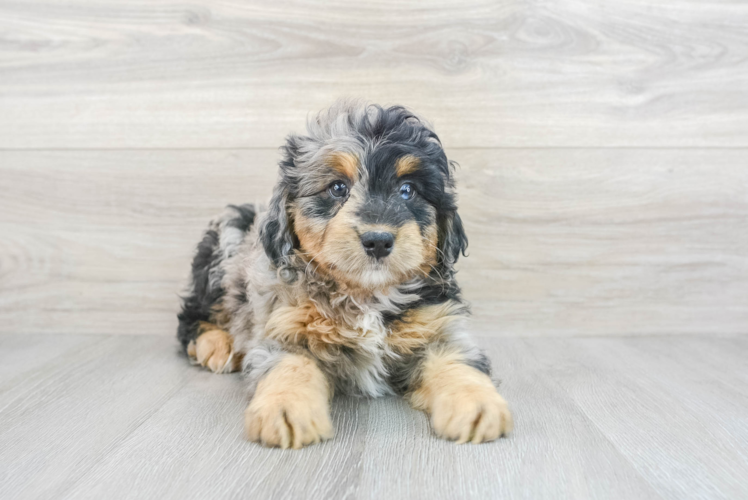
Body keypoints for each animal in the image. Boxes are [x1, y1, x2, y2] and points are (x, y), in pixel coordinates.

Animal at [177, 99, 516, 448]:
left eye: (407, 190)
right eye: (337, 187)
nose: (378, 240)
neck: (366, 294)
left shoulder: (440, 328)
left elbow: (456, 362)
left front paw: (476, 404)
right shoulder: (283, 326)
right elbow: (290, 364)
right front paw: (285, 408)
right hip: (224, 247)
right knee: (191, 316)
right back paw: (217, 345)